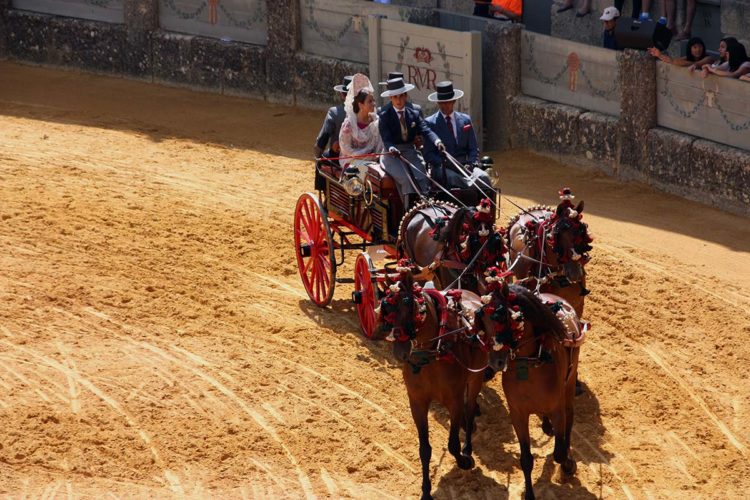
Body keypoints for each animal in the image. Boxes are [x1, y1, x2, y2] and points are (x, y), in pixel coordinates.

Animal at [378, 262, 490, 500]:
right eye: (385, 307)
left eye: (408, 303)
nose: (400, 351)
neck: (430, 356)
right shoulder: (417, 403)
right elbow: (424, 449)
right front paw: (426, 490)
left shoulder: (454, 401)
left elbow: (453, 443)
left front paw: (464, 460)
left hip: (476, 376)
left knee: (469, 408)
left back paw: (468, 445)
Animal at [476, 274, 580, 500]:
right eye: (482, 320)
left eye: (502, 317)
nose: (495, 362)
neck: (530, 364)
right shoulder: (518, 414)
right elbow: (526, 460)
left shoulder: (557, 409)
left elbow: (559, 453)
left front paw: (568, 465)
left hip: (569, 383)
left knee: (569, 419)